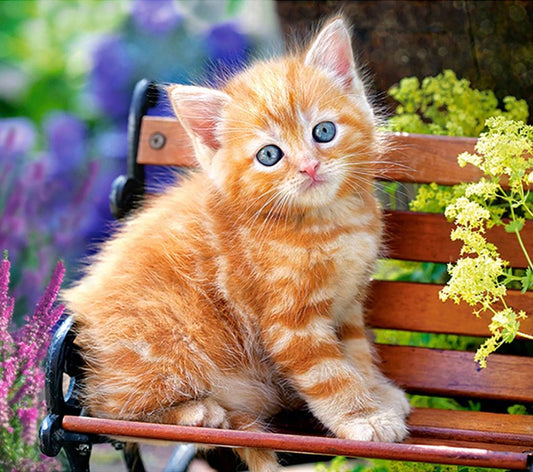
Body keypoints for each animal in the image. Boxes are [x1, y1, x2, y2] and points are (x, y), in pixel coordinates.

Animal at [64, 16, 410, 472]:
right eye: (269, 155)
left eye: (324, 132)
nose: (309, 167)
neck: (328, 222)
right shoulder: (289, 321)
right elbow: (330, 374)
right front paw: (364, 418)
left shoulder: (348, 303)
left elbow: (357, 353)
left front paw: (378, 392)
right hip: (165, 345)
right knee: (113, 414)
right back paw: (196, 411)